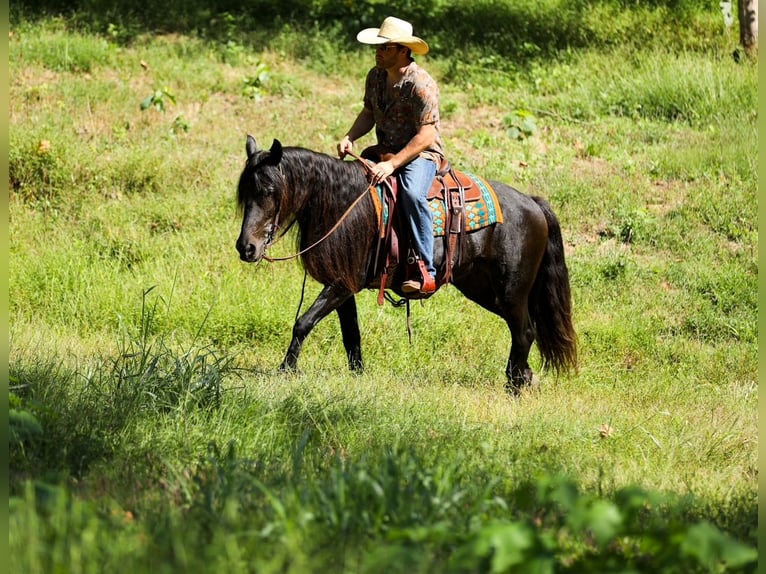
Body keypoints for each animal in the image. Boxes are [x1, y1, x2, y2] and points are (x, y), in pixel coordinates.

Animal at [236, 136, 577, 393]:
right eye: (244, 192)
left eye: (268, 191)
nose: (246, 247)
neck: (344, 206)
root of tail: (533, 203)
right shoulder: (343, 286)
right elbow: (351, 334)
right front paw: (357, 376)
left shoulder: (341, 285)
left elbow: (303, 322)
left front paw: (285, 370)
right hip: (483, 289)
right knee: (523, 330)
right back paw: (525, 377)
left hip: (511, 291)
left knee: (525, 331)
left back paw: (514, 385)